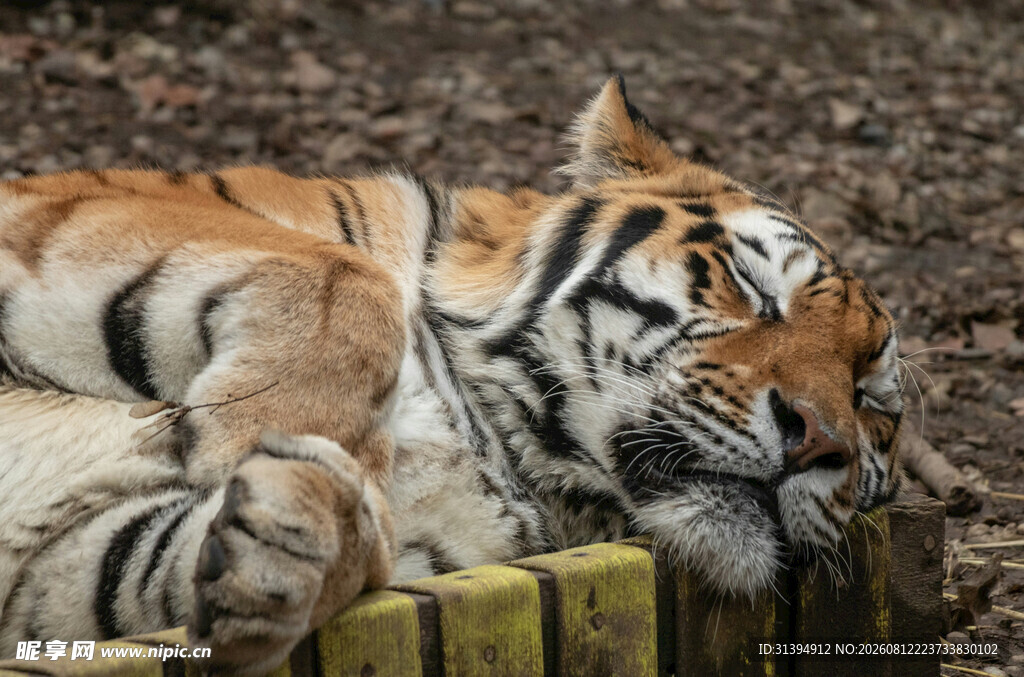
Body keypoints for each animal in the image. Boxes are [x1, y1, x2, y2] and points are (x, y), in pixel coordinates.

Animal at [0, 76, 904, 674]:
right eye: (749, 290)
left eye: (871, 403)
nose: (820, 440)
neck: (495, 445)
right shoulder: (71, 212)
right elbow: (343, 275)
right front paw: (242, 444)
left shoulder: (53, 564)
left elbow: (142, 560)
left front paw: (292, 535)